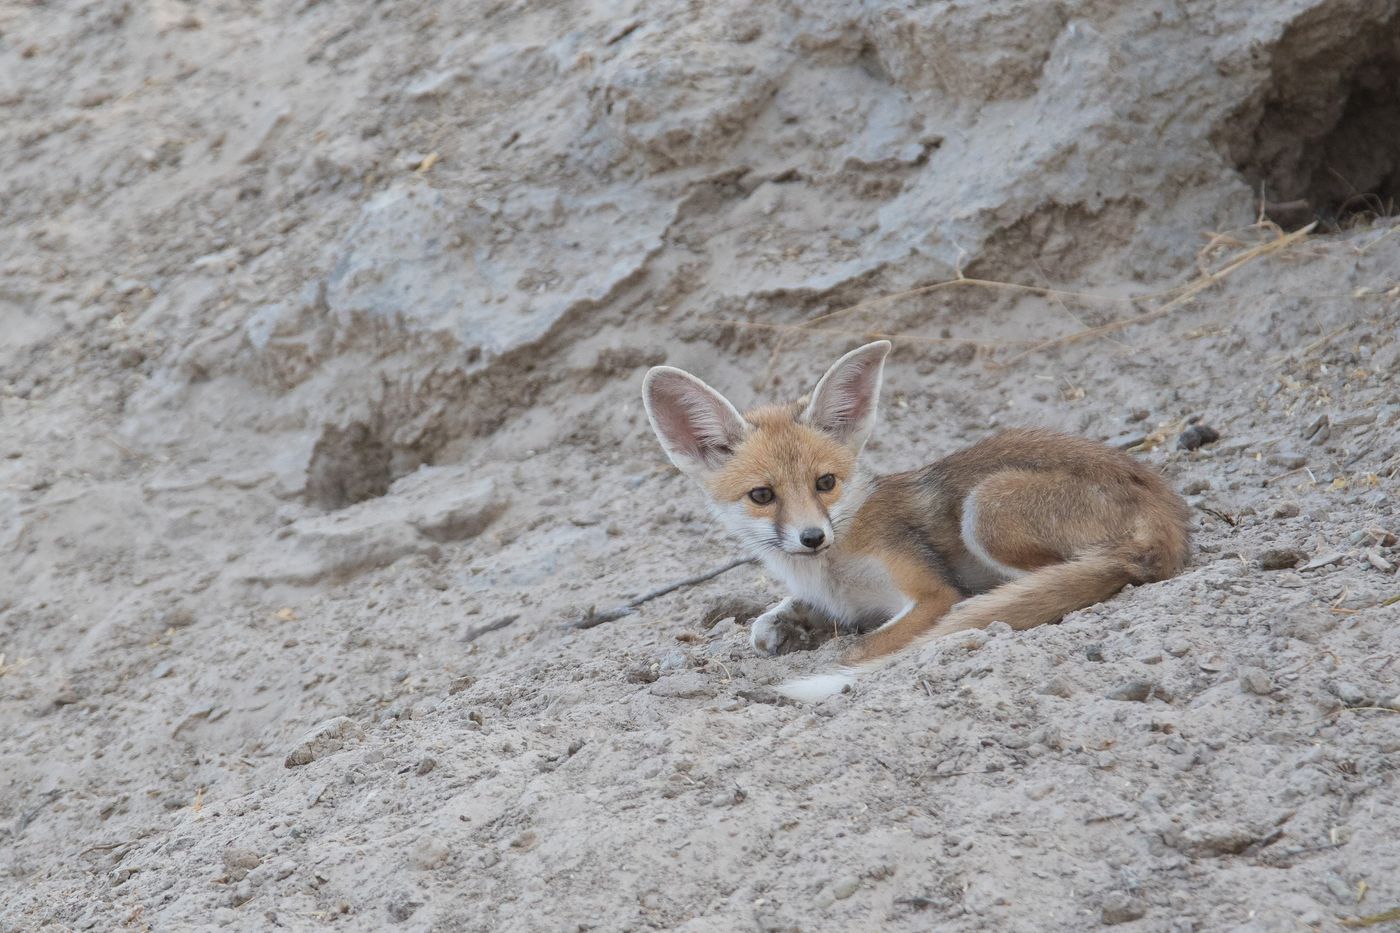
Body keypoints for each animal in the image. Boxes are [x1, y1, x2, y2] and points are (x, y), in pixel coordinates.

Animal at [641, 340, 1187, 697]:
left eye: (825, 483)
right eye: (762, 495)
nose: (812, 537)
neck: (832, 569)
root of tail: (1163, 503)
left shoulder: (931, 593)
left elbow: (859, 650)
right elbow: (764, 622)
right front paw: (786, 624)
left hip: (985, 509)